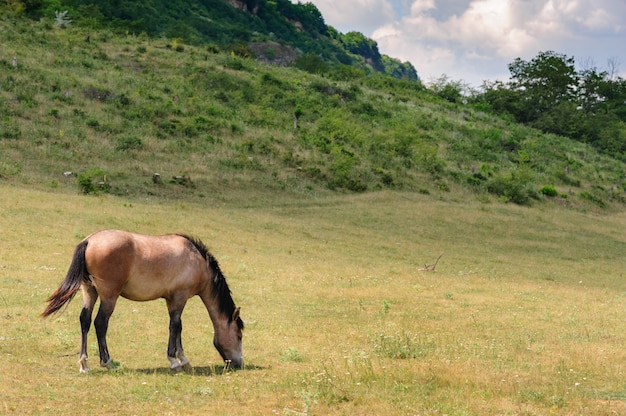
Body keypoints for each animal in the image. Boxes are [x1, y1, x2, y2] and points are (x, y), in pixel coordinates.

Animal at [40, 229, 243, 372]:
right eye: (239, 335)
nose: (238, 364)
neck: (197, 261)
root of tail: (89, 240)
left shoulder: (172, 299)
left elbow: (178, 326)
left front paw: (183, 360)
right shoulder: (179, 297)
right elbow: (175, 325)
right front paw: (175, 361)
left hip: (89, 291)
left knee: (85, 320)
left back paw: (84, 364)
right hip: (109, 296)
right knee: (100, 323)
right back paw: (107, 362)